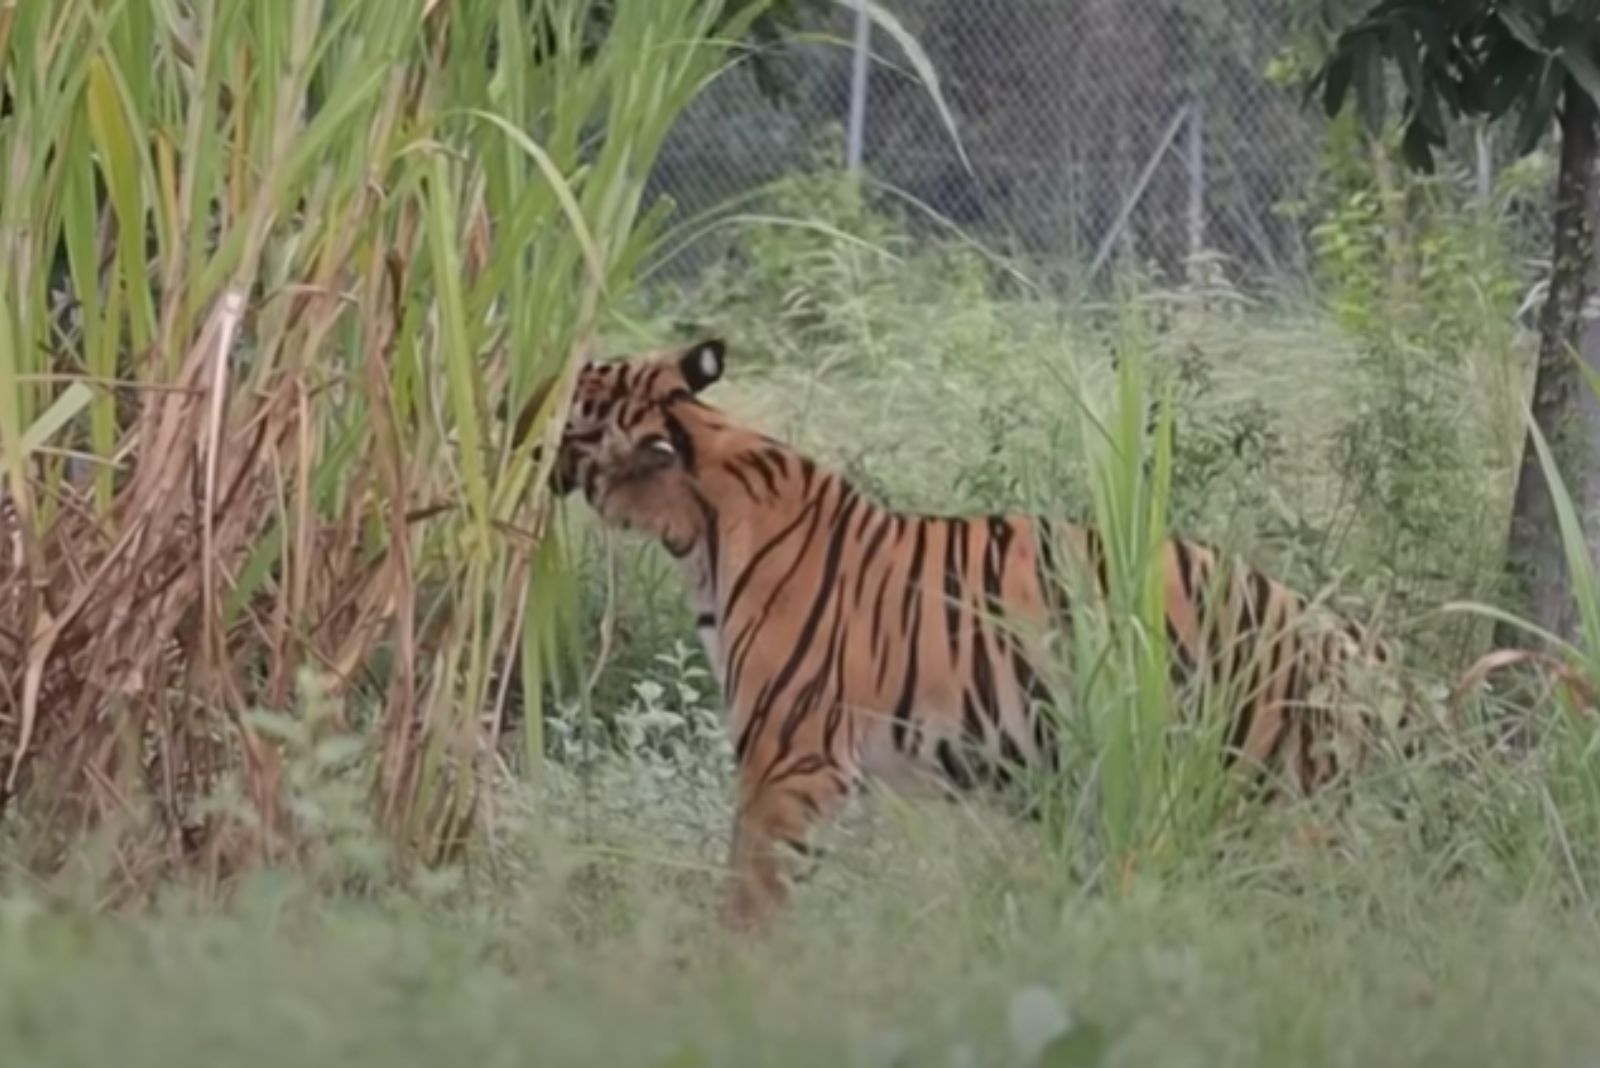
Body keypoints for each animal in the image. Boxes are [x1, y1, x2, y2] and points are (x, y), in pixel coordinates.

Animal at [521, 337, 1414, 927]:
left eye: (575, 393)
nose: (514, 411)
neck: (694, 523)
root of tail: (1344, 629)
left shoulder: (791, 757)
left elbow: (751, 891)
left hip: (1273, 793)